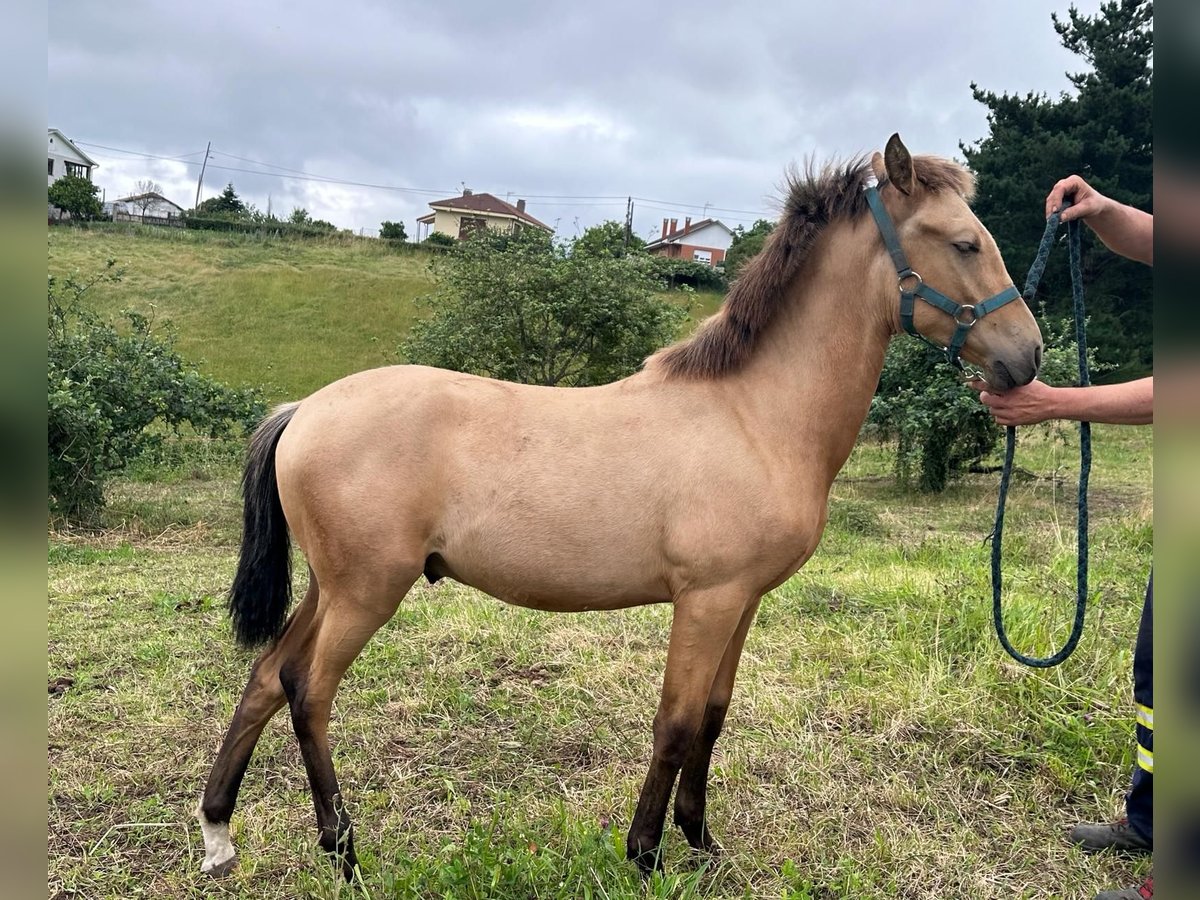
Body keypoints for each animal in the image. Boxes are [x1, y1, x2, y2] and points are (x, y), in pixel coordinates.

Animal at [194, 135, 1041, 883]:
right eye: (965, 243)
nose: (1027, 357)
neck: (753, 415)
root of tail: (304, 410)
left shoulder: (743, 602)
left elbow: (713, 717)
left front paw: (702, 843)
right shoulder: (706, 601)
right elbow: (675, 723)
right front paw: (646, 855)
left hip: (330, 586)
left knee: (268, 676)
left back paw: (218, 834)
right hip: (366, 591)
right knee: (309, 692)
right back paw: (343, 852)